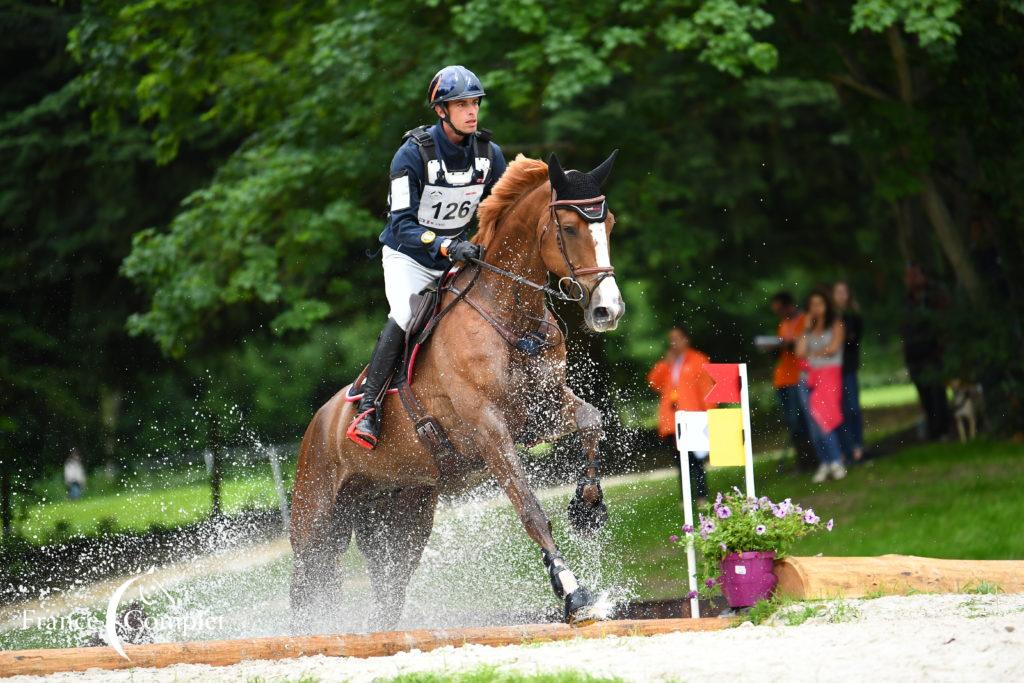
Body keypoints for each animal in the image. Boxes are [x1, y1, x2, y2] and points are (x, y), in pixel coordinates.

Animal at [288, 152, 622, 626]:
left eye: (608, 223)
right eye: (571, 228)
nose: (608, 310)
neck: (510, 317)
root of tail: (317, 425)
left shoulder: (542, 411)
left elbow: (591, 419)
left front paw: (588, 508)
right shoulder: (489, 430)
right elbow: (531, 510)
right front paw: (574, 594)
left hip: (401, 515)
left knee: (389, 592)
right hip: (316, 525)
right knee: (306, 589)